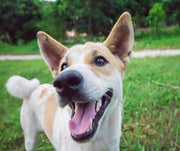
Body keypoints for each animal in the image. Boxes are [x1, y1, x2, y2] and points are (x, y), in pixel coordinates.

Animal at [5, 12, 134, 151]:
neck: (95, 142)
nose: (64, 80)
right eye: (64, 66)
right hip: (30, 138)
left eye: (100, 60)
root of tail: (34, 88)